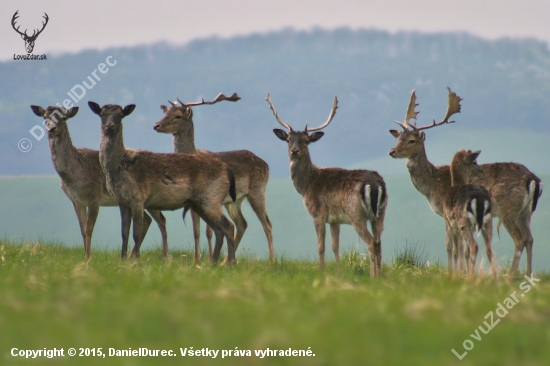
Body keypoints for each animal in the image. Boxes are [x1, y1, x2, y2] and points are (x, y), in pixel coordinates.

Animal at [29, 104, 168, 258]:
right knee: (149, 220)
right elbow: (83, 230)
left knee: (161, 220)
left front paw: (89, 257)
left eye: (64, 117)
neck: (72, 176)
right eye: (44, 116)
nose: (52, 128)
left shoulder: (95, 196)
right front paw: (85, 256)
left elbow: (89, 229)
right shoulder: (76, 201)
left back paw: (164, 256)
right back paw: (133, 256)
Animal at [88, 101, 237, 264]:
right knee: (219, 230)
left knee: (229, 227)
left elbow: (136, 233)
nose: (110, 126)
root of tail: (228, 170)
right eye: (101, 114)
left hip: (211, 199)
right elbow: (124, 233)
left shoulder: (138, 198)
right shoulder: (122, 201)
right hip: (200, 204)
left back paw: (230, 264)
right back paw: (214, 263)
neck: (118, 168)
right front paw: (122, 260)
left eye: (121, 115)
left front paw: (136, 261)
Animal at [446, 149, 498, 278]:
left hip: (463, 222)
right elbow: (465, 252)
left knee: (474, 246)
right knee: (488, 249)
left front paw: (455, 274)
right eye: (474, 162)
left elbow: (456, 250)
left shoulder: (449, 222)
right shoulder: (473, 229)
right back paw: (496, 277)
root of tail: (479, 199)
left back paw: (469, 277)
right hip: (488, 222)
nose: (483, 172)